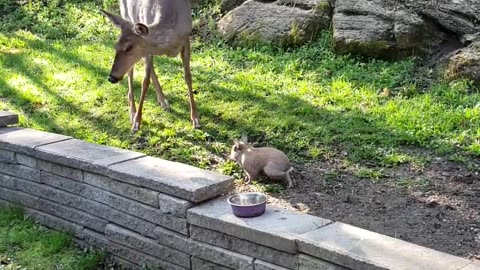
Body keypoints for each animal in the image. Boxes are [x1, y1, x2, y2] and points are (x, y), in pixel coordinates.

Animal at [100, 0, 200, 132]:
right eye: (115, 46)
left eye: (129, 47)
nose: (111, 77)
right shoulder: (147, 49)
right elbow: (145, 82)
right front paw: (137, 121)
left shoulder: (186, 39)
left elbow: (188, 77)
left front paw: (195, 118)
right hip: (126, 14)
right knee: (132, 71)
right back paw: (133, 112)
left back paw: (163, 101)